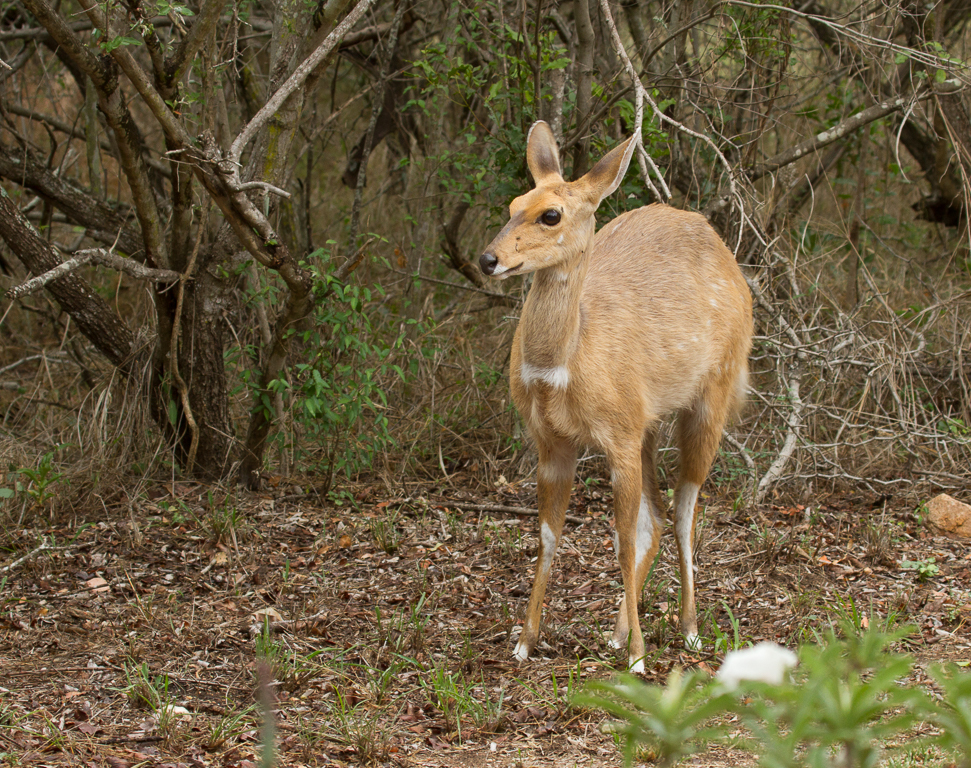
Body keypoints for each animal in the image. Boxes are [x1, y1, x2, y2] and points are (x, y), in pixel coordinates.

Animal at [482, 121, 756, 672]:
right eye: (514, 204)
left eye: (551, 214)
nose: (488, 259)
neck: (564, 368)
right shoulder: (553, 442)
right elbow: (549, 535)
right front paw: (525, 642)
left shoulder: (619, 435)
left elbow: (622, 536)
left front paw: (639, 659)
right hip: (649, 425)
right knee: (658, 514)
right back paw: (616, 633)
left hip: (710, 398)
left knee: (682, 510)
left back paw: (688, 630)